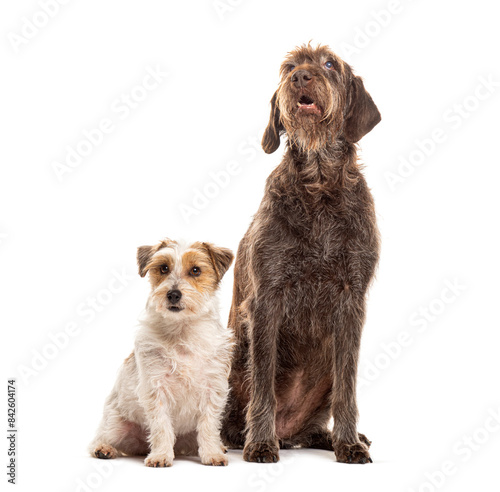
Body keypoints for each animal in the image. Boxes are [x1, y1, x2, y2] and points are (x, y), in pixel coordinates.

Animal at [89, 240, 234, 468]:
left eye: (196, 270)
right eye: (163, 268)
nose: (173, 294)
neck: (182, 332)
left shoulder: (213, 389)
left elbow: (209, 426)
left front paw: (212, 453)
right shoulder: (156, 390)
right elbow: (161, 426)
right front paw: (161, 455)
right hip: (115, 423)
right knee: (98, 438)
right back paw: (104, 449)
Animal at [221, 44, 380, 464]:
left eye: (329, 64)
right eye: (289, 67)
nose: (301, 77)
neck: (319, 183)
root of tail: (290, 430)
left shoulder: (351, 299)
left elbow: (347, 388)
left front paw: (348, 443)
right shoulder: (267, 299)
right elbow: (262, 384)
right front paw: (260, 442)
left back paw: (335, 436)